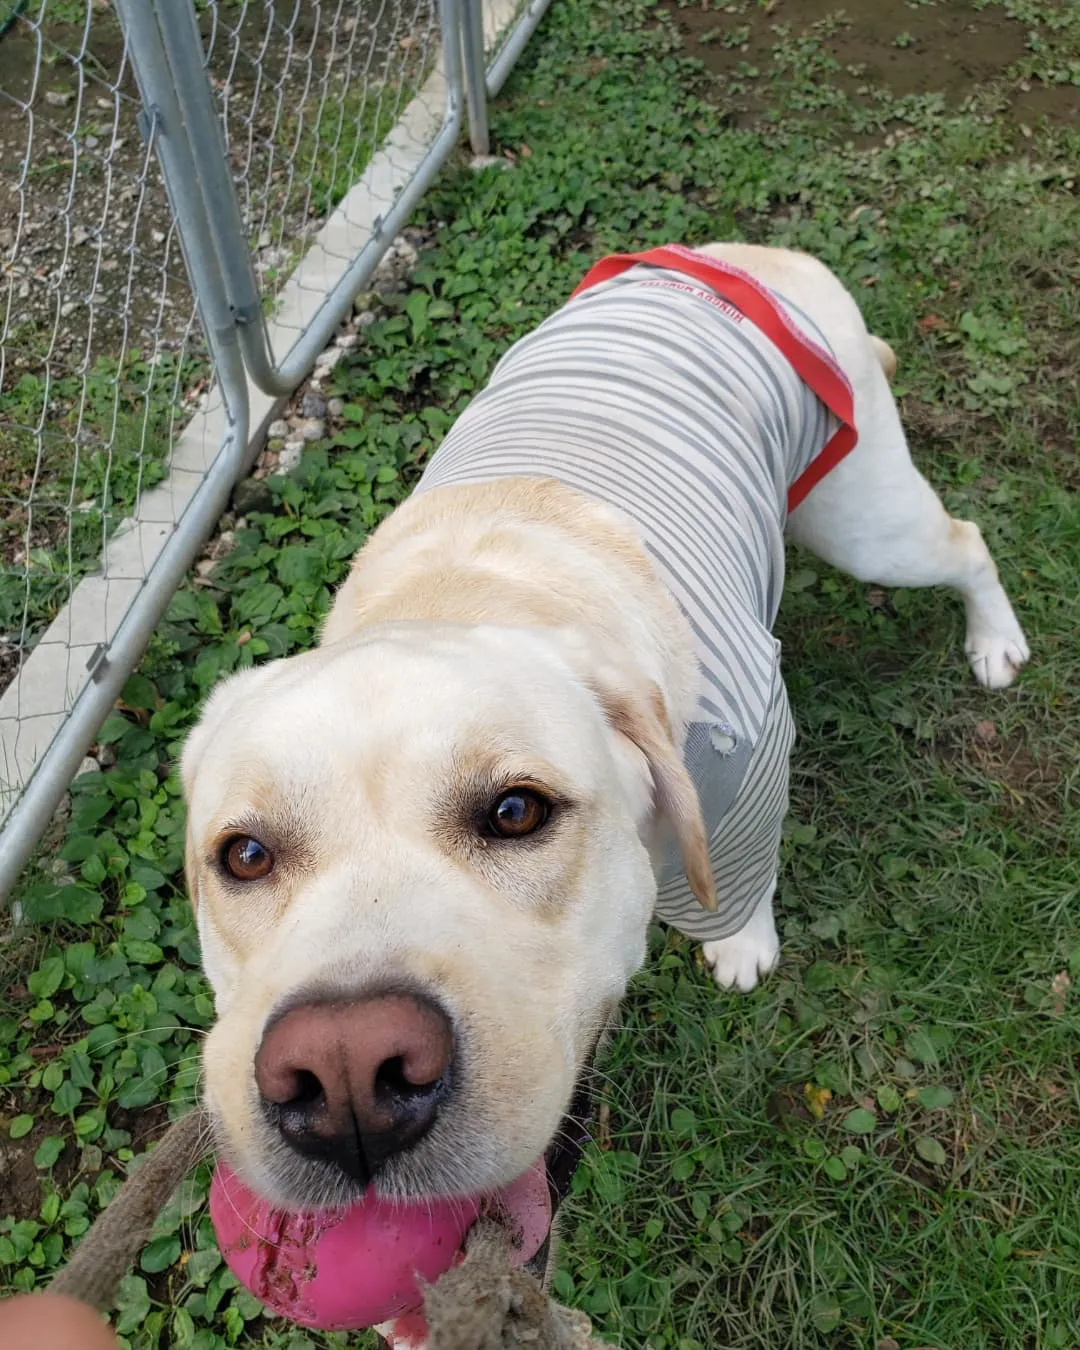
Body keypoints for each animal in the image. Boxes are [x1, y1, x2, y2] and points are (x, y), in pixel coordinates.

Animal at [180, 245, 1026, 1274]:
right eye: (244, 857)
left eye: (516, 812)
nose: (346, 1079)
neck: (464, 594)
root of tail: (747, 254)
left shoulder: (748, 765)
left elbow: (740, 879)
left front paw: (740, 946)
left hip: (868, 522)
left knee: (969, 544)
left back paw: (996, 642)